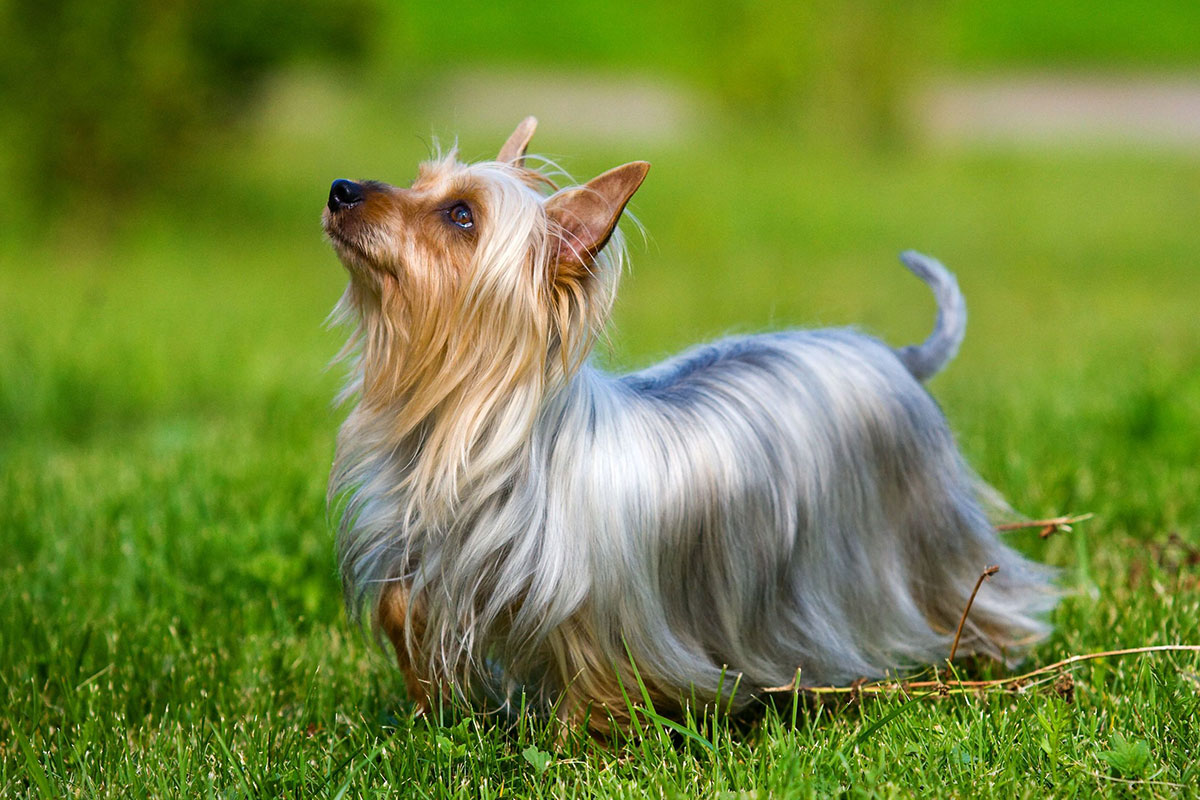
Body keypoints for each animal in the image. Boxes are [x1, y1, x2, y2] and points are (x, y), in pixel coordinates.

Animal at [324, 117, 1056, 734]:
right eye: (418, 180)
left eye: (461, 216)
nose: (340, 189)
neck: (472, 427)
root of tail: (897, 358)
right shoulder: (426, 556)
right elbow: (403, 612)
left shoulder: (598, 617)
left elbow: (595, 680)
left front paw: (575, 746)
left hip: (924, 538)